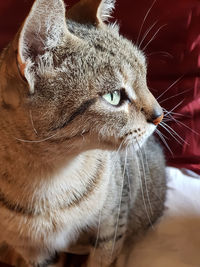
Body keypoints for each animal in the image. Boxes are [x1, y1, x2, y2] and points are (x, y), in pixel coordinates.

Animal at [0, 0, 166, 267]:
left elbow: (104, 258)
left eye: (145, 74)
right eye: (113, 97)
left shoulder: (111, 225)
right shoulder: (33, 250)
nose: (160, 115)